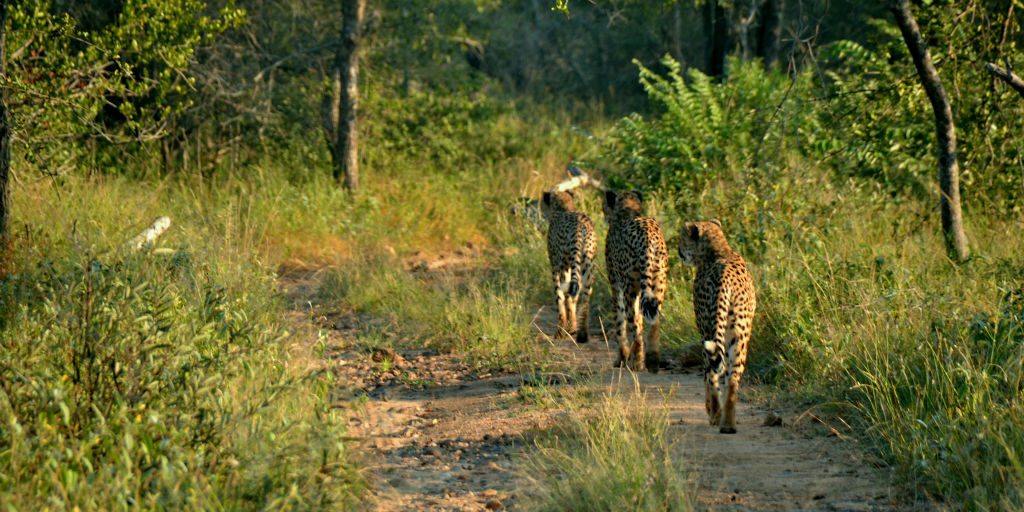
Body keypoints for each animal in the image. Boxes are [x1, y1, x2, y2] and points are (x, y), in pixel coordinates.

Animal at [540, 190, 598, 342]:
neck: (565, 208)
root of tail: (579, 226)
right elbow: (572, 298)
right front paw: (572, 328)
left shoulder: (557, 267)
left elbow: (562, 299)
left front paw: (566, 330)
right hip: (588, 266)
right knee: (585, 300)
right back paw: (582, 334)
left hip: (563, 267)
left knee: (564, 297)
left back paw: (560, 332)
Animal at [598, 190, 671, 374]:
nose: (604, 213)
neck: (628, 210)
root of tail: (648, 236)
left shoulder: (616, 286)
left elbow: (620, 322)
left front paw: (622, 357)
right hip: (658, 284)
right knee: (654, 322)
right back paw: (652, 360)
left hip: (630, 288)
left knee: (635, 326)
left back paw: (637, 363)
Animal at [675, 218, 757, 434]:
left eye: (682, 238)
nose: (678, 251)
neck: (719, 250)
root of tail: (724, 280)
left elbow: (708, 377)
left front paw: (710, 410)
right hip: (739, 337)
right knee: (733, 379)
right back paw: (728, 424)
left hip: (708, 333)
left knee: (711, 375)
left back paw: (715, 415)